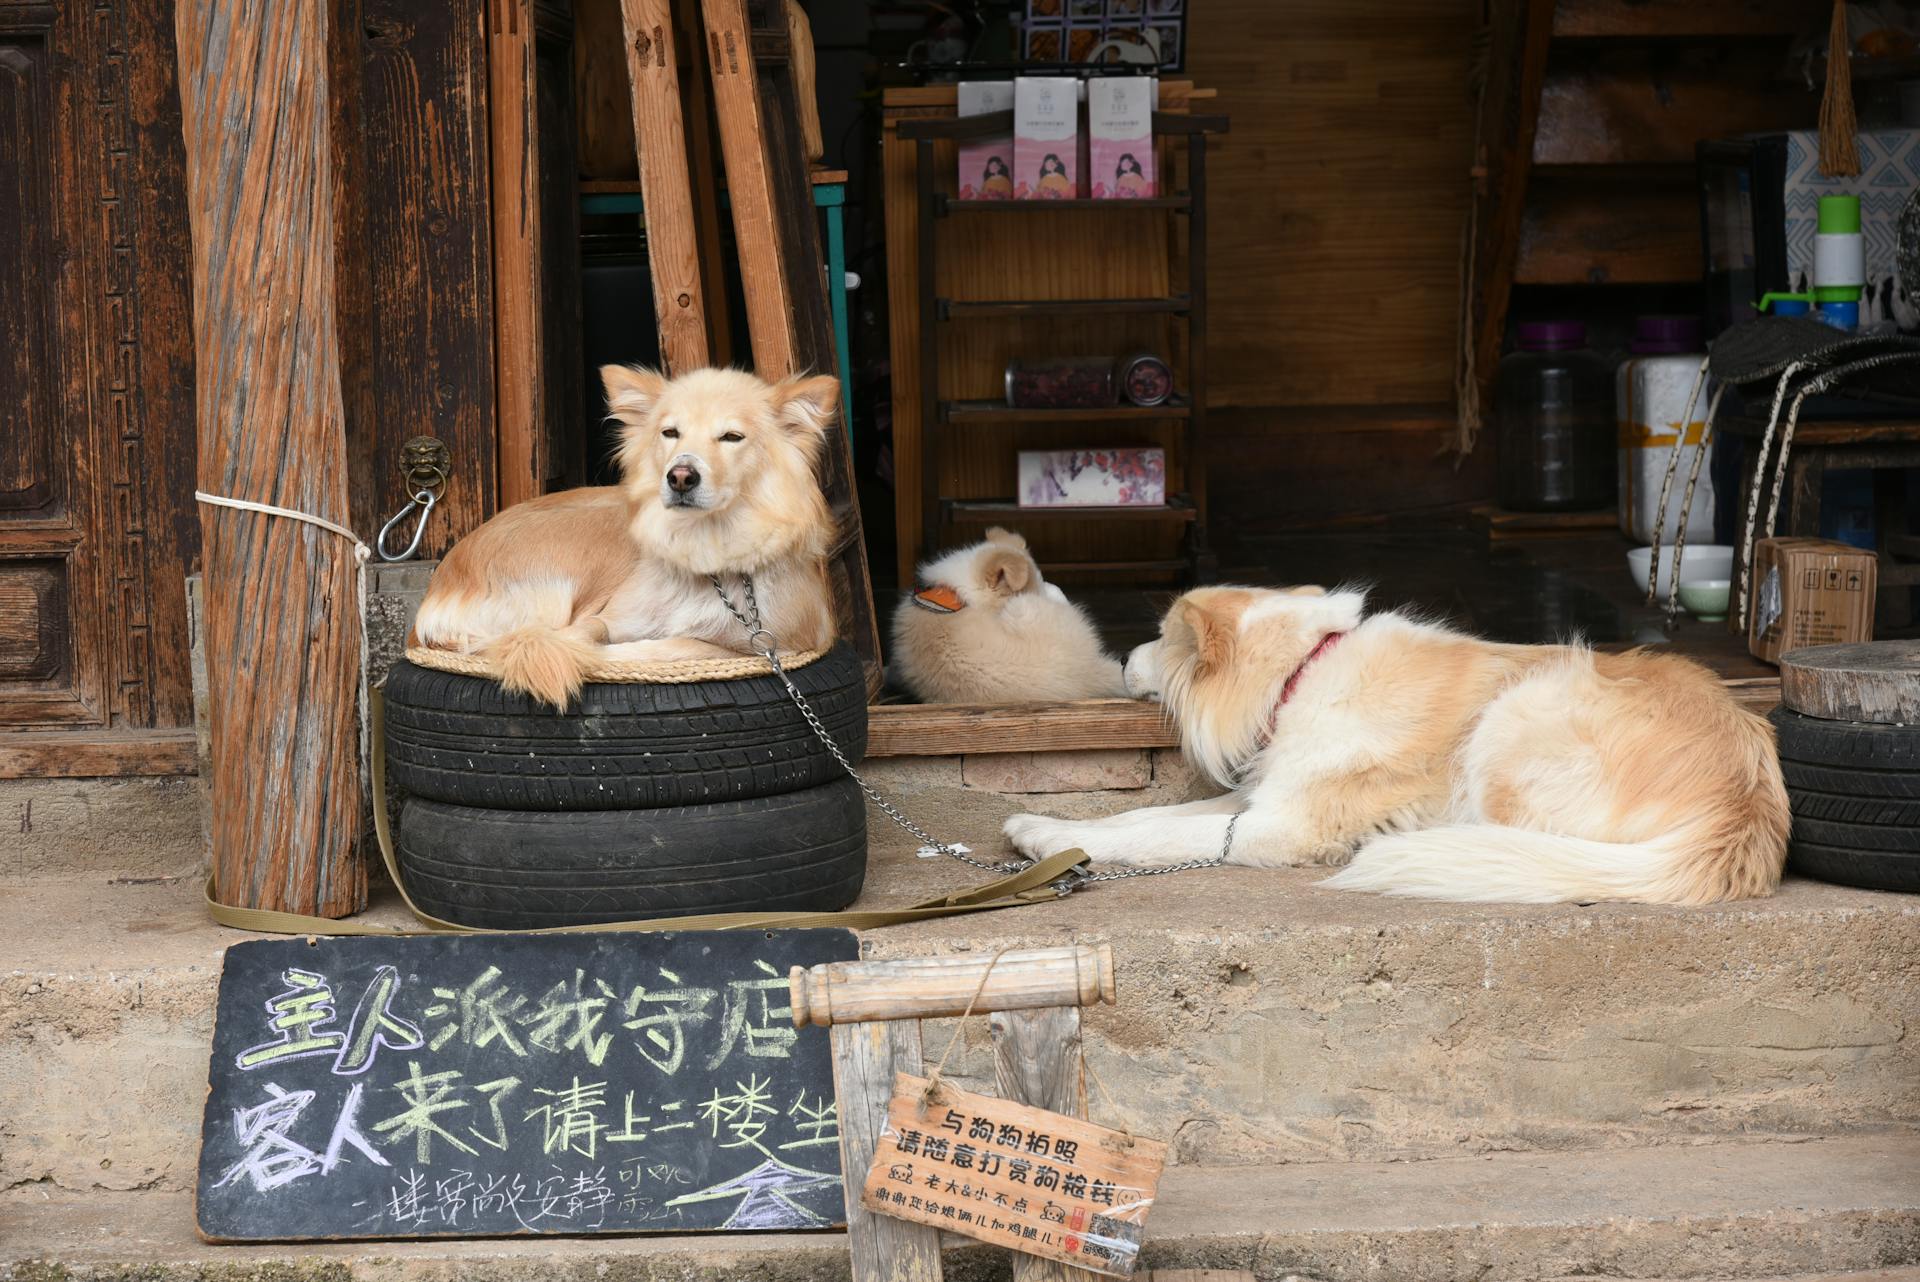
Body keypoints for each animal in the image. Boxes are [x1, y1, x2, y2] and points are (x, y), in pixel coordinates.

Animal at [998, 579, 1789, 902]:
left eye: (1161, 641)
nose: (1122, 661)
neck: (1302, 670)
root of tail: (1744, 813)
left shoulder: (1278, 826)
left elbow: (1155, 834)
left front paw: (1046, 836)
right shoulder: (1266, 796)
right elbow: (1142, 815)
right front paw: (1049, 832)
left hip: (1514, 715)